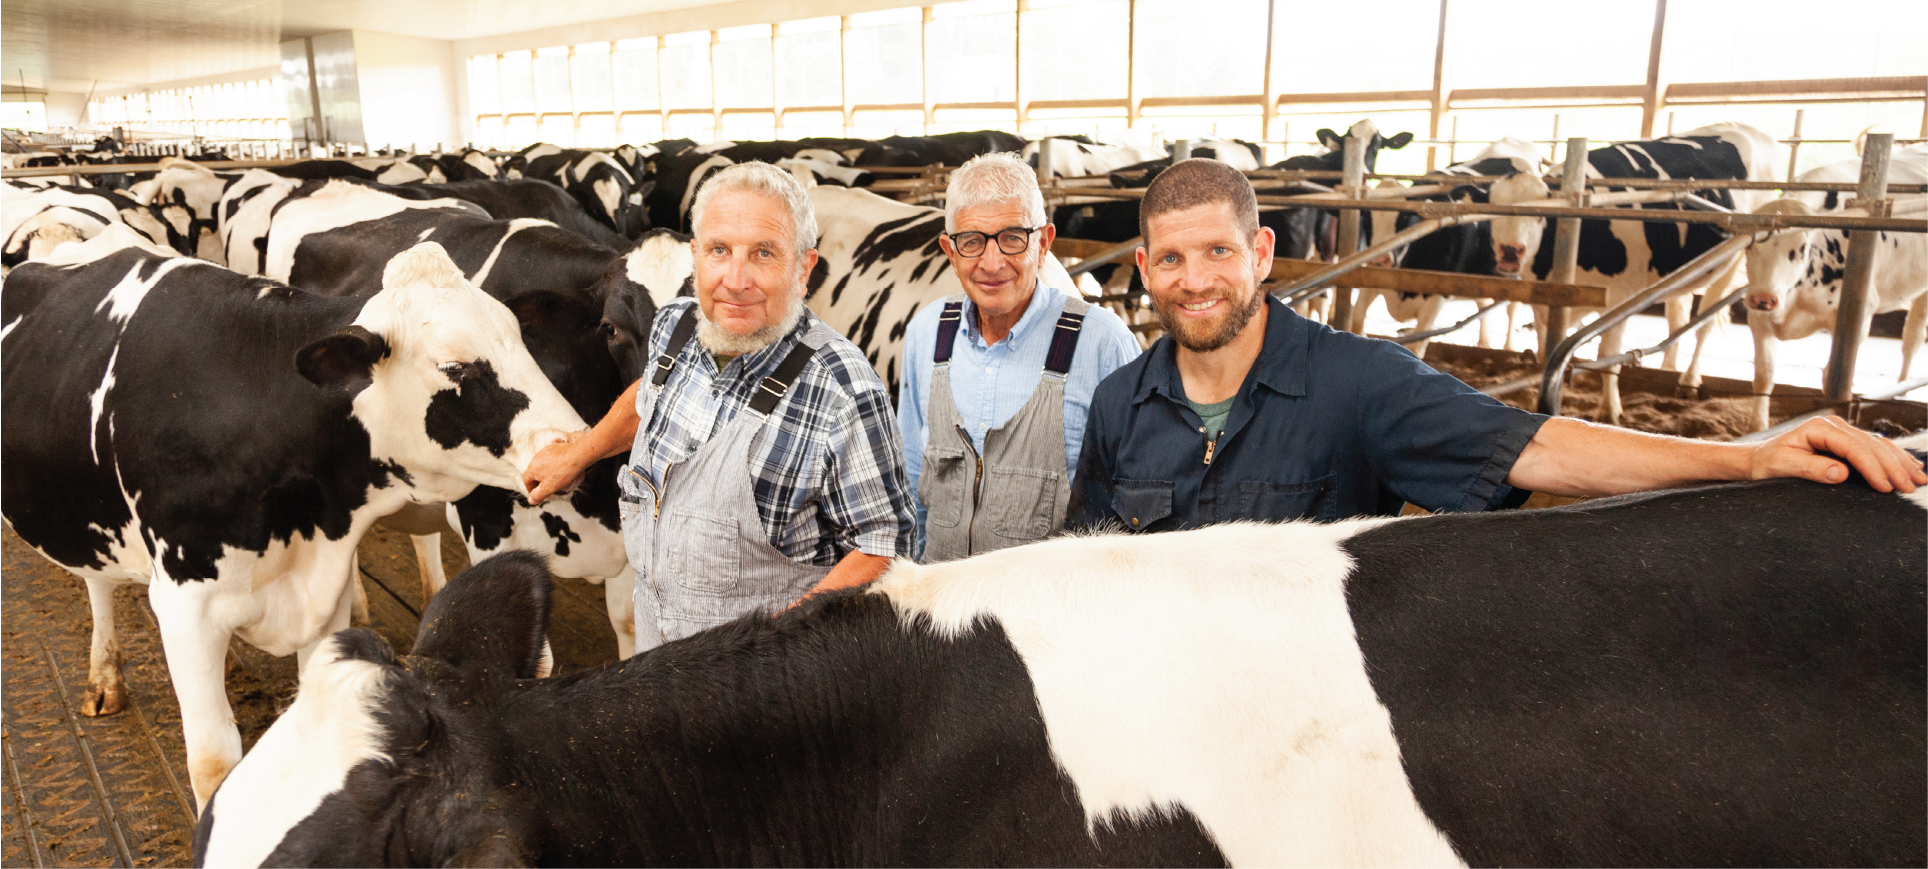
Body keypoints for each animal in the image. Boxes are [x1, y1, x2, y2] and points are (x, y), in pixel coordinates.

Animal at [1, 235, 586, 805]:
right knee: (96, 584)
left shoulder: (325, 593)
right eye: (456, 367)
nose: (573, 448)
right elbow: (213, 763)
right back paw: (104, 679)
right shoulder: (186, 605)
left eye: (521, 342)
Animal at [1488, 120, 1773, 423]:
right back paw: (1669, 367)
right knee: (1678, 315)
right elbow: (1545, 353)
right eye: (1493, 209)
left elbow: (1608, 354)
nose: (1510, 251)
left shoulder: (1620, 294)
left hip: (1735, 258)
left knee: (1704, 325)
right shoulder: (1544, 300)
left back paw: (1688, 381)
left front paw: (1609, 410)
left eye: (1540, 213)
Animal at [1735, 150, 1928, 435]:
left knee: (1912, 339)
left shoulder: (1857, 317)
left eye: (1801, 247)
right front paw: (1756, 428)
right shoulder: (1758, 317)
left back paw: (1901, 392)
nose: (1764, 299)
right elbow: (1763, 375)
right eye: (1749, 246)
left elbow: (1830, 377)